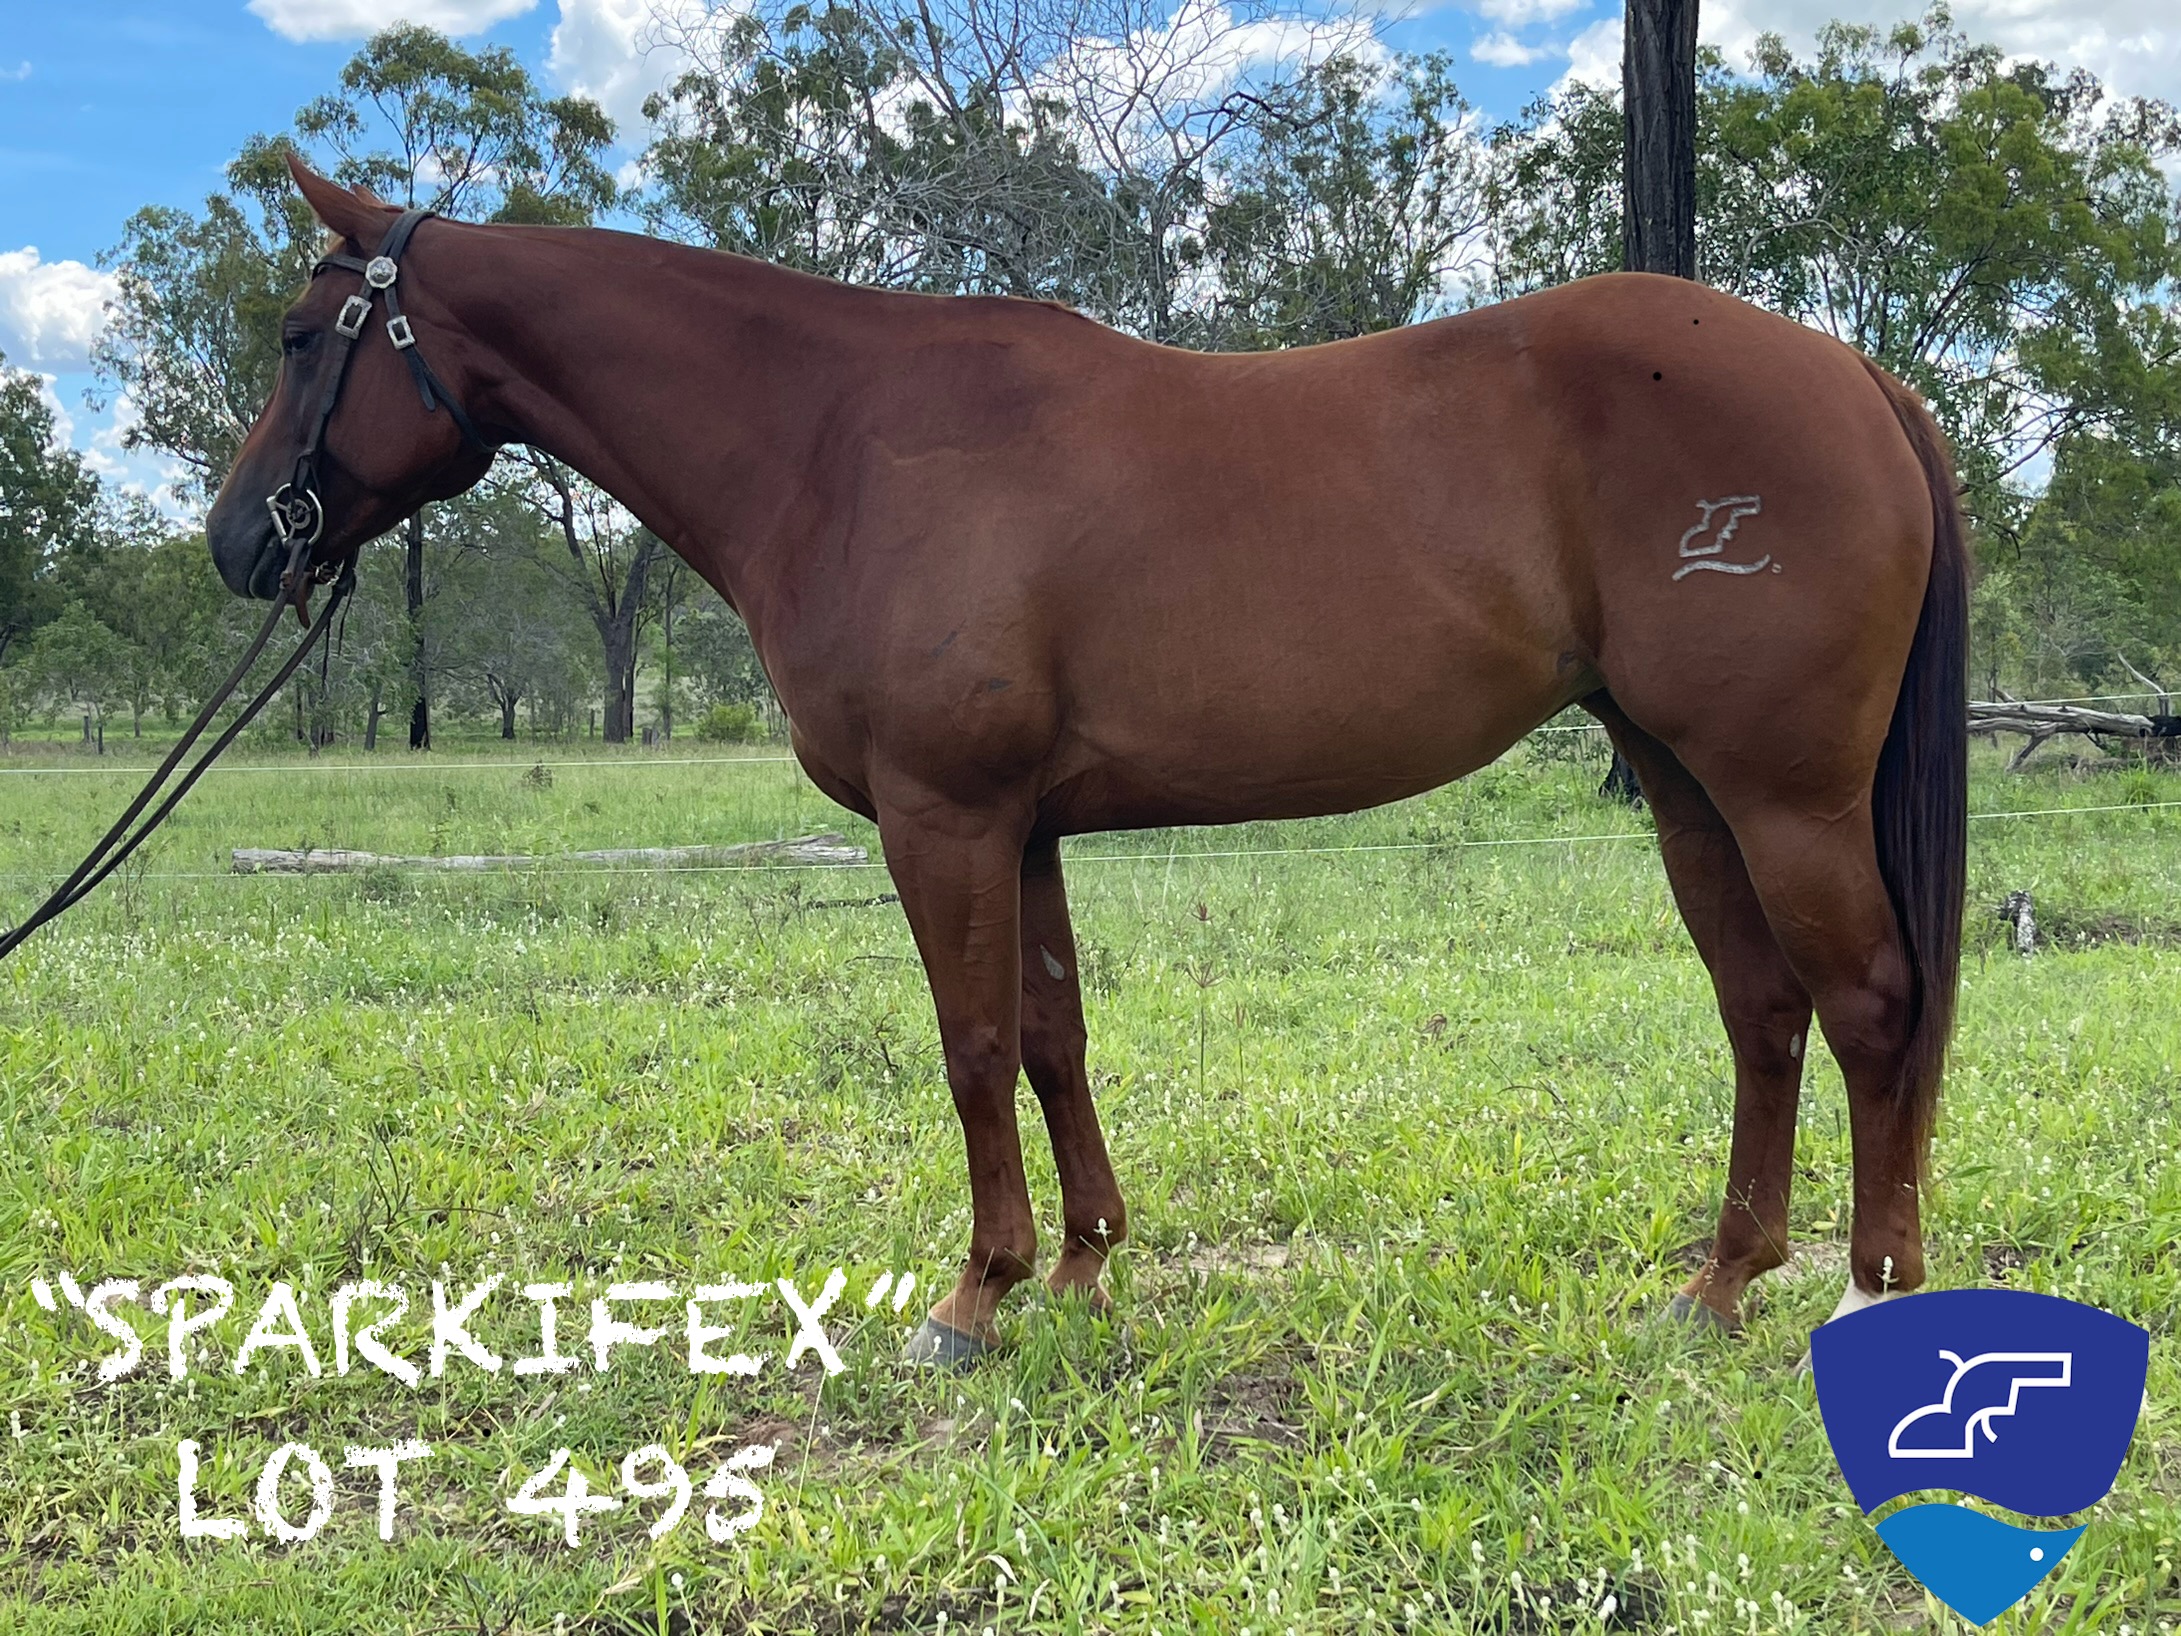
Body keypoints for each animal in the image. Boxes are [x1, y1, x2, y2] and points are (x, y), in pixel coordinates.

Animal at [207, 156, 1967, 1365]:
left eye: (300, 336)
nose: (238, 543)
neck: (839, 438)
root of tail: (1851, 373)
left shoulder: (942, 817)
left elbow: (973, 1043)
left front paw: (972, 1300)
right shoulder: (1025, 827)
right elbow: (1054, 1034)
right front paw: (1079, 1264)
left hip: (1780, 792)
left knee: (1871, 1006)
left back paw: (1871, 1295)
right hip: (1683, 783)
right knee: (1764, 1011)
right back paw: (1719, 1283)